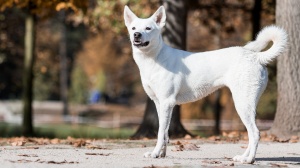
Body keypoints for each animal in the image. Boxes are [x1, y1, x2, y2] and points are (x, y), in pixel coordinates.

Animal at [123, 5, 288, 164]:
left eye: (148, 28)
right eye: (133, 28)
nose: (136, 35)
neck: (155, 57)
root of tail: (256, 57)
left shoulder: (166, 102)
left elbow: (160, 132)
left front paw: (155, 153)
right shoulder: (160, 104)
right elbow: (164, 133)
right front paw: (161, 154)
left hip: (243, 104)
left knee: (255, 133)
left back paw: (249, 160)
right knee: (251, 134)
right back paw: (242, 157)